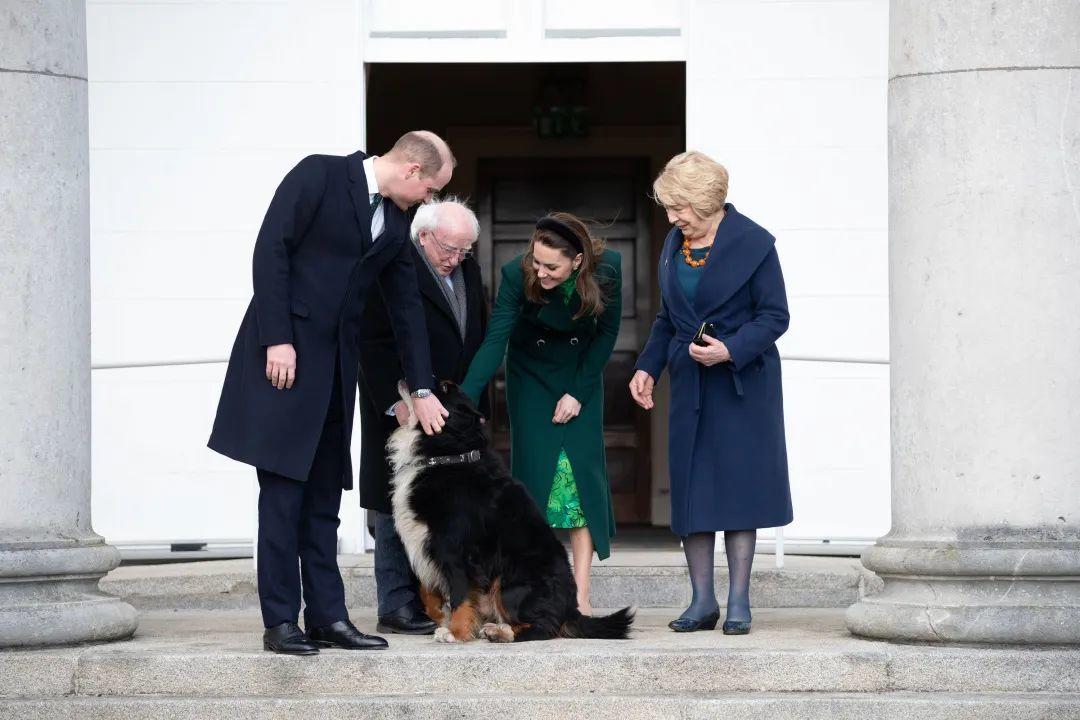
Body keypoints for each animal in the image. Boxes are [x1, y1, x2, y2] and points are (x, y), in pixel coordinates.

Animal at [388, 379, 630, 643]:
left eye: (442, 389)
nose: (408, 381)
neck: (450, 454)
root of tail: (570, 608)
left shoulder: (456, 549)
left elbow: (460, 595)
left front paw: (456, 632)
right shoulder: (424, 543)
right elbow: (427, 591)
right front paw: (440, 618)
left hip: (510, 579)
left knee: (542, 628)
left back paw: (499, 632)